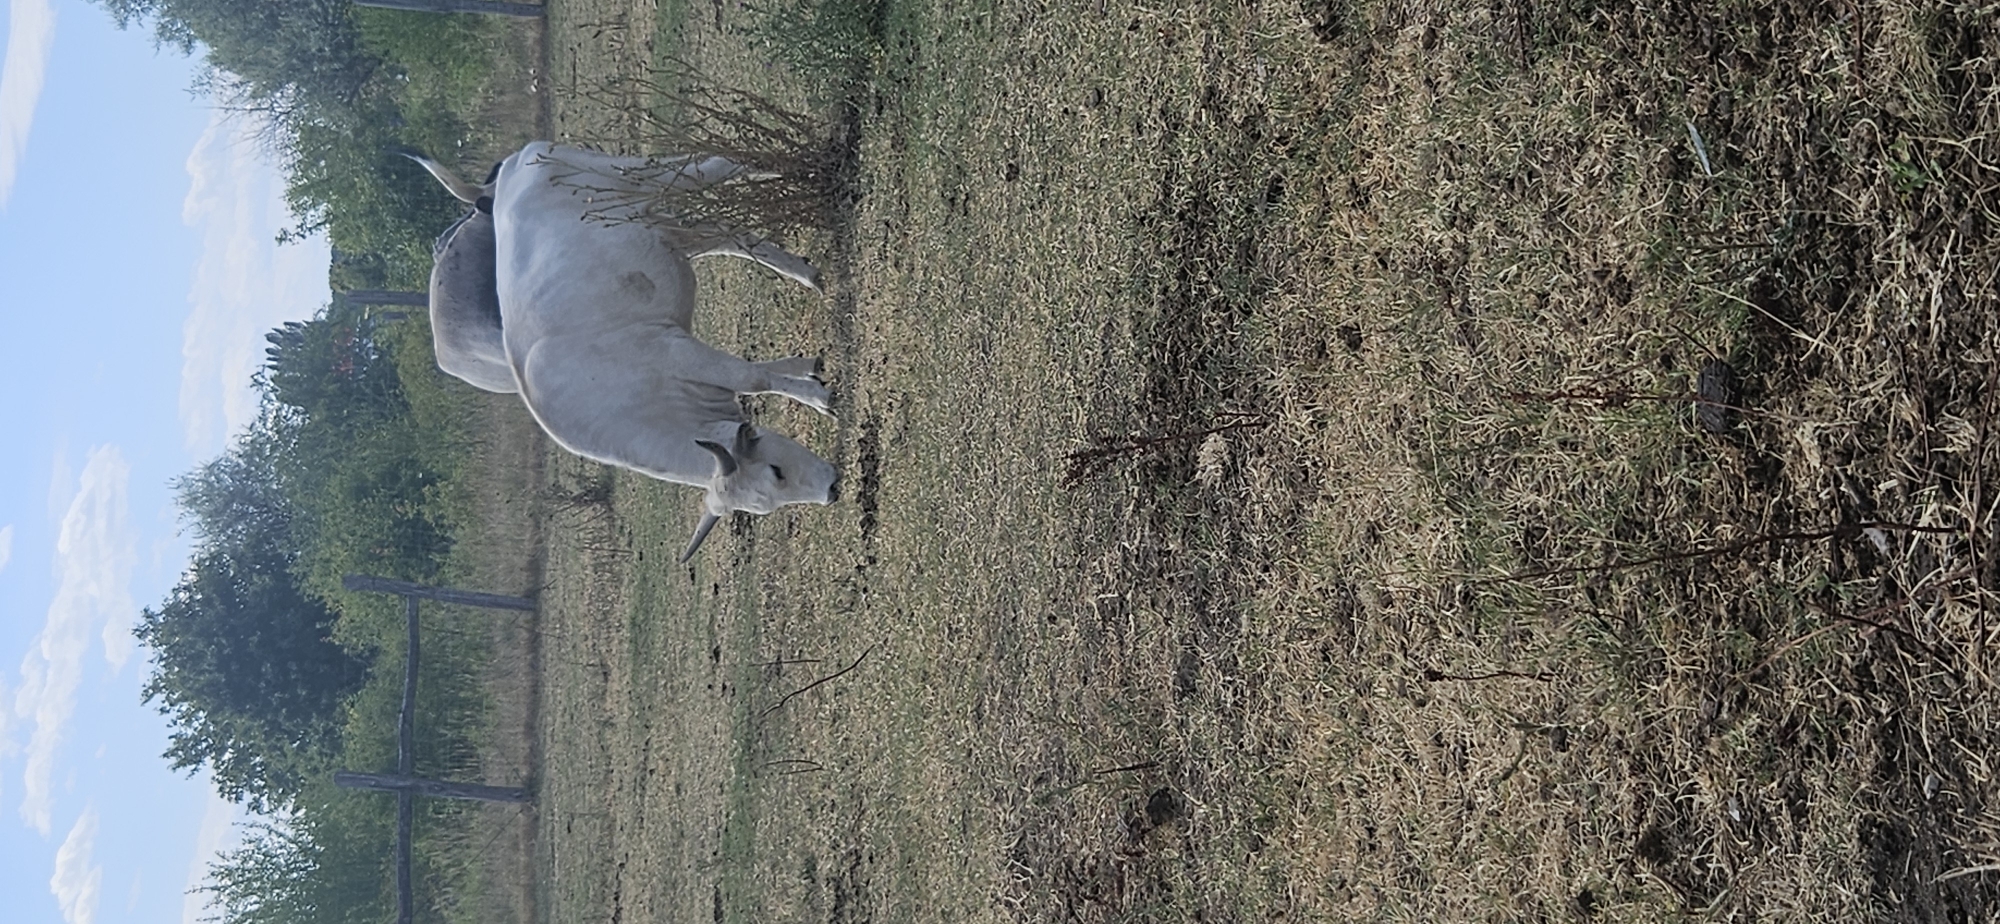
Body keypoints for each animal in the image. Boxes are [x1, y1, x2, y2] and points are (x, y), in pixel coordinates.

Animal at [410, 142, 839, 561]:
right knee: (725, 236)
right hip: (658, 225)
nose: (832, 489)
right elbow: (760, 373)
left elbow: (754, 377)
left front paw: (820, 398)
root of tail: (512, 169)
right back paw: (806, 273)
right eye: (775, 480)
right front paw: (808, 369)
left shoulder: (678, 351)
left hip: (643, 179)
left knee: (716, 165)